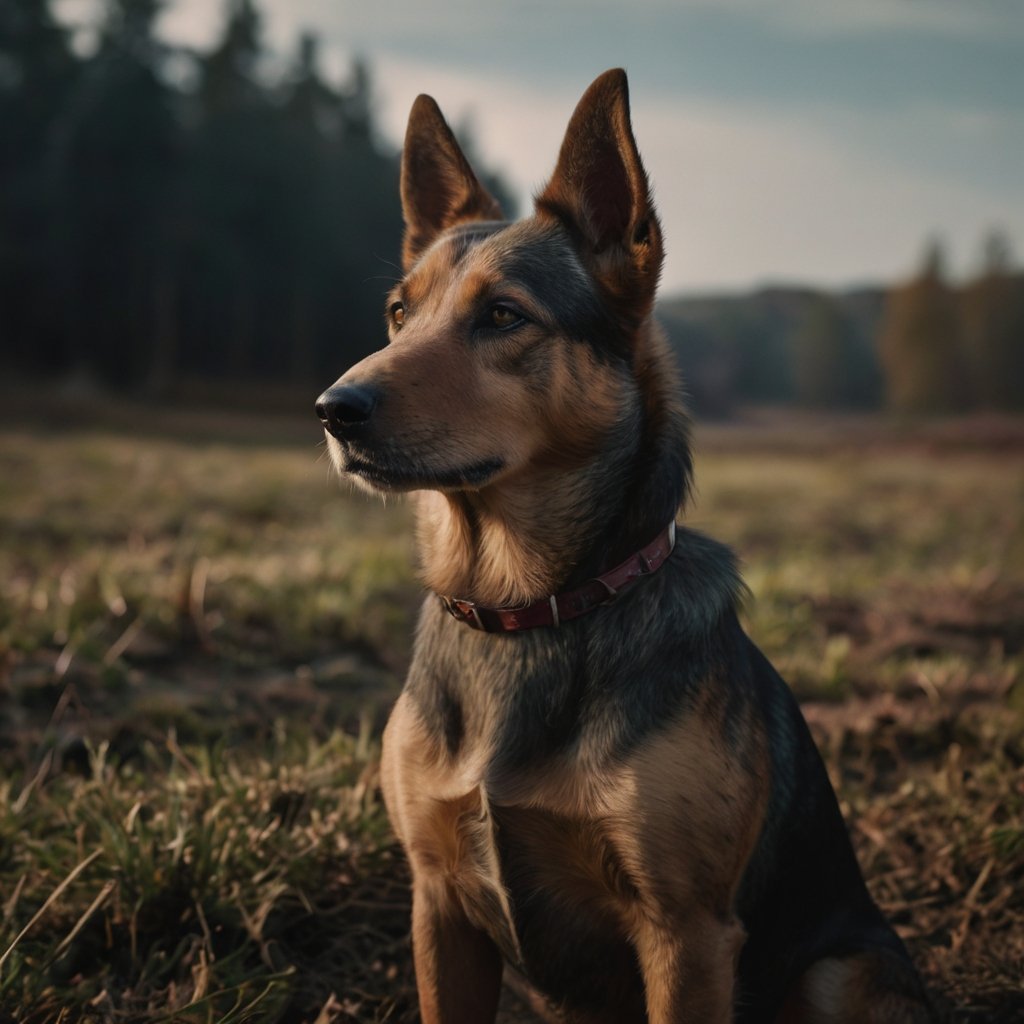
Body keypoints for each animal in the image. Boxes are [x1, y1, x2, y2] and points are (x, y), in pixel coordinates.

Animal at [315, 70, 933, 1024]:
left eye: (503, 315)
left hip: (841, 973)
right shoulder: (439, 906)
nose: (332, 410)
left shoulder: (687, 934)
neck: (525, 607)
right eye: (396, 313)